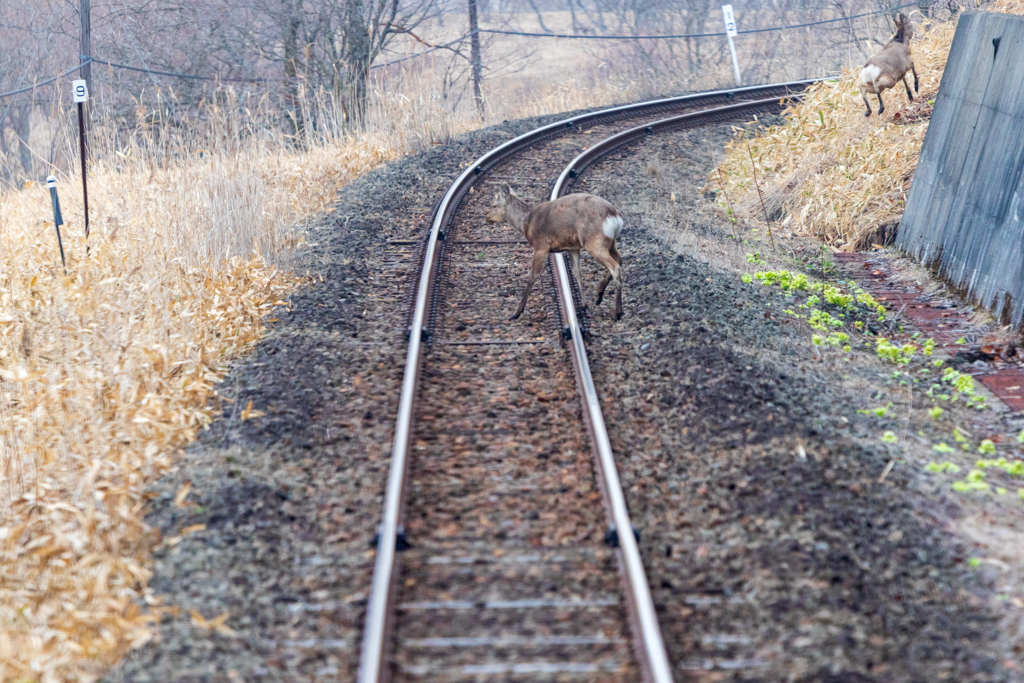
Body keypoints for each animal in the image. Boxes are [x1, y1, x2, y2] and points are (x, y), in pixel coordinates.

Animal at [485, 181, 622, 321]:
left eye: (493, 204)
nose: (487, 217)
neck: (526, 224)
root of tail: (615, 218)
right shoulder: (573, 248)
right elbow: (577, 272)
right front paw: (584, 306)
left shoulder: (541, 246)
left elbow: (533, 276)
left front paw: (516, 313)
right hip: (610, 243)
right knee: (619, 259)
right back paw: (599, 296)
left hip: (594, 241)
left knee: (615, 266)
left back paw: (618, 312)